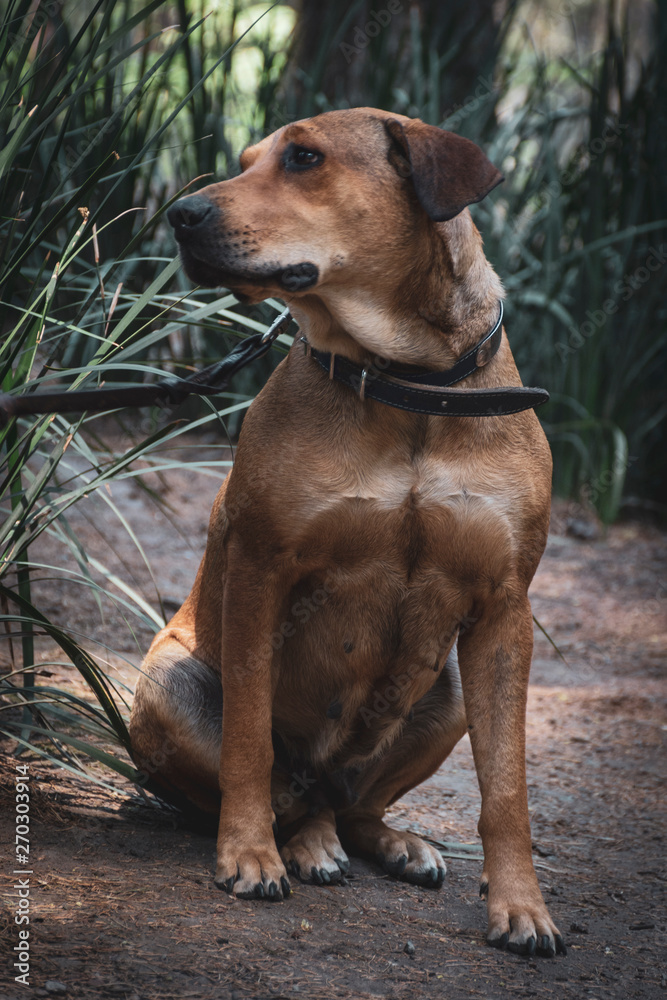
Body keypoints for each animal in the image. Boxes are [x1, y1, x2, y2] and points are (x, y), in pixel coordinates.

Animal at [129, 105, 564, 956]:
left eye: (304, 158)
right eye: (246, 160)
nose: (181, 214)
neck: (405, 381)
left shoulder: (503, 612)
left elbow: (506, 788)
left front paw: (521, 906)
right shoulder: (262, 569)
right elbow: (249, 741)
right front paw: (247, 855)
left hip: (448, 694)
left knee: (349, 802)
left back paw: (388, 842)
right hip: (170, 683)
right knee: (287, 793)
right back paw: (300, 843)